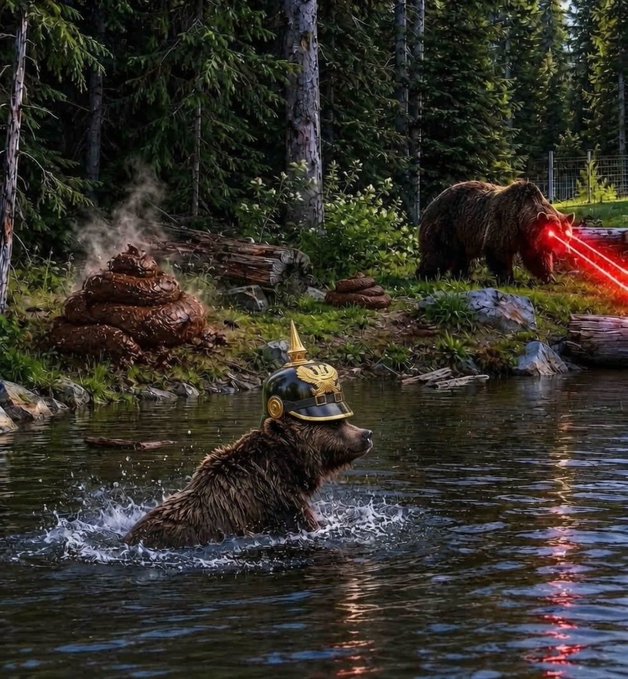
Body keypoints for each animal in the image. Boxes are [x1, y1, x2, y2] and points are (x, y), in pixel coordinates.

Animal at [416, 179, 575, 284]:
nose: (566, 251)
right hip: (447, 225)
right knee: (439, 253)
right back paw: (426, 275)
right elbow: (499, 254)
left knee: (462, 257)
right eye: (554, 236)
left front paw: (550, 277)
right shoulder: (503, 225)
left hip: (463, 234)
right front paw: (509, 279)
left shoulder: (528, 239)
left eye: (567, 236)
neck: (522, 220)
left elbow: (537, 257)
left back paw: (462, 276)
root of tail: (430, 204)